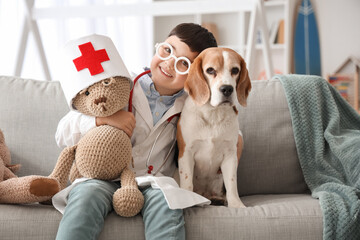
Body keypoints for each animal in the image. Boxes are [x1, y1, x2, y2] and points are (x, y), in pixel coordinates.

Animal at [176, 47, 250, 208]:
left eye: (235, 70)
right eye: (210, 70)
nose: (227, 89)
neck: (213, 115)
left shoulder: (230, 155)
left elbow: (231, 183)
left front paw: (236, 205)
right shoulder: (186, 153)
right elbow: (187, 182)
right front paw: (188, 200)